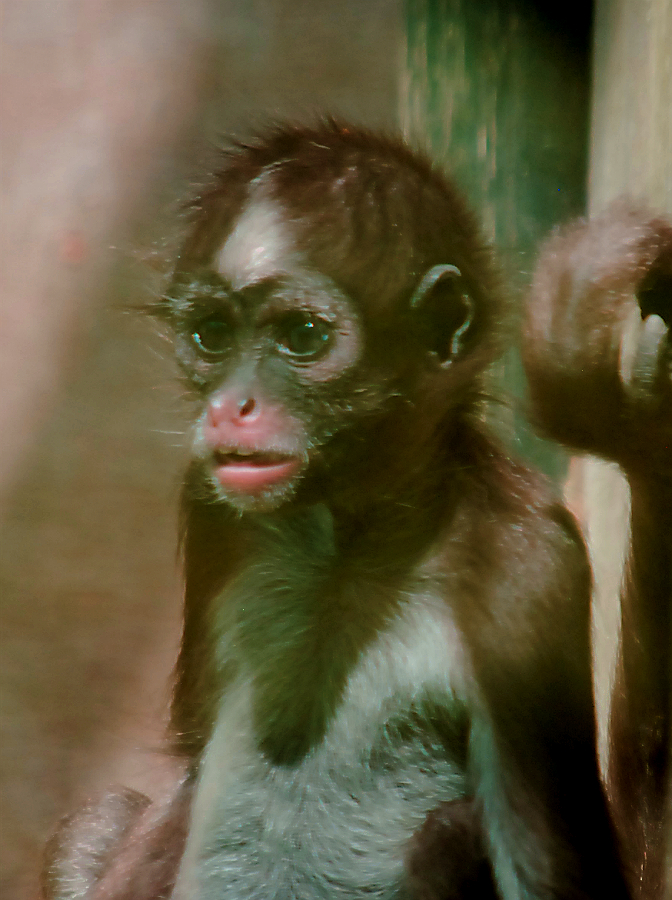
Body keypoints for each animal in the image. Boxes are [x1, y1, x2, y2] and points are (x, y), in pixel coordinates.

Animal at [42, 121, 630, 900]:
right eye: (211, 334)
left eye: (302, 336)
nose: (231, 407)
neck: (344, 551)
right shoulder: (212, 502)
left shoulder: (526, 559)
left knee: (452, 829)